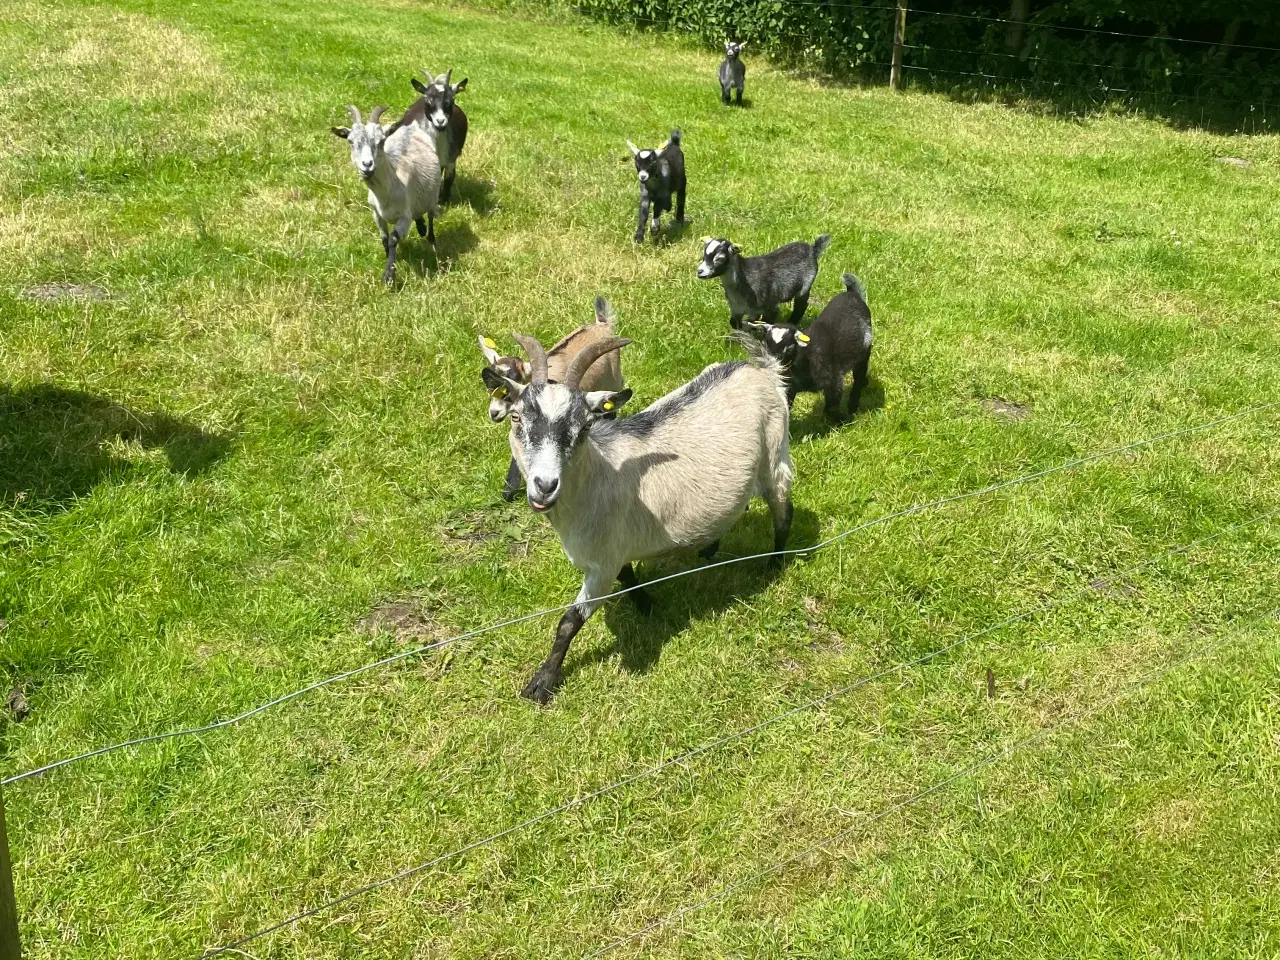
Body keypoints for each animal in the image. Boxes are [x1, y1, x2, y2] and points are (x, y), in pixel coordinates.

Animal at [330, 106, 440, 285]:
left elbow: (393, 239)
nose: (367, 165)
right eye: (350, 141)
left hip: (433, 195)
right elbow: (384, 238)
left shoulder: (404, 217)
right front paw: (390, 259)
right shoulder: (376, 214)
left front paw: (389, 274)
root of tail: (411, 127)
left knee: (430, 216)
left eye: (381, 141)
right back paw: (421, 226)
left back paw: (430, 237)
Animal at [481, 296, 624, 499]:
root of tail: (601, 324)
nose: (494, 413)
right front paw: (509, 489)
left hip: (614, 380)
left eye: (509, 386)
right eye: (490, 385)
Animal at [496, 327, 788, 701]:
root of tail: (761, 369)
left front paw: (543, 682)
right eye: (516, 416)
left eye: (585, 426)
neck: (598, 475)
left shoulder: (601, 565)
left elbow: (569, 622)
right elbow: (628, 576)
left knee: (783, 510)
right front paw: (646, 604)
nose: (544, 485)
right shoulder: (614, 550)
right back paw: (710, 547)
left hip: (775, 455)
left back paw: (775, 564)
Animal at [696, 235, 834, 332]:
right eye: (703, 256)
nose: (700, 271)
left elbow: (767, 323)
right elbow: (735, 323)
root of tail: (813, 249)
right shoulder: (737, 308)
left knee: (801, 305)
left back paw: (791, 323)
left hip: (805, 285)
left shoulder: (771, 306)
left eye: (719, 259)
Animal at [747, 271, 875, 419]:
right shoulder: (790, 386)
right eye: (764, 344)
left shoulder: (833, 380)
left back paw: (853, 406)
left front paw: (843, 420)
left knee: (859, 374)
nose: (771, 365)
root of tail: (852, 293)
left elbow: (831, 408)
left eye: (790, 348)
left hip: (864, 351)